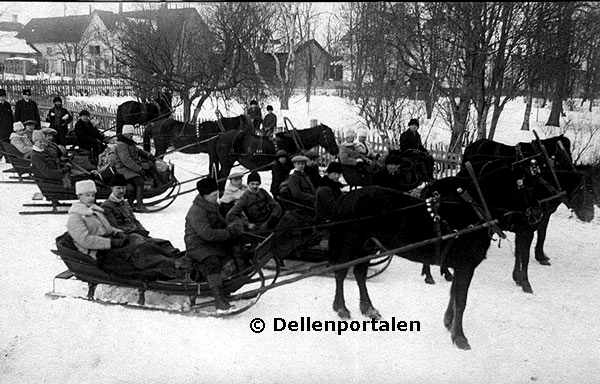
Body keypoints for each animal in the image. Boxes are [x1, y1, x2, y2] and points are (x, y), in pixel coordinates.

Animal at [328, 160, 544, 350]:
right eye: (528, 186)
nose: (538, 213)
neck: (473, 211)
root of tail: (346, 198)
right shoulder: (466, 266)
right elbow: (461, 301)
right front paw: (460, 337)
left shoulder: (459, 266)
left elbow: (454, 295)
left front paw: (449, 323)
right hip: (351, 245)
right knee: (341, 273)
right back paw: (341, 308)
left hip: (368, 246)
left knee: (360, 273)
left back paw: (368, 308)